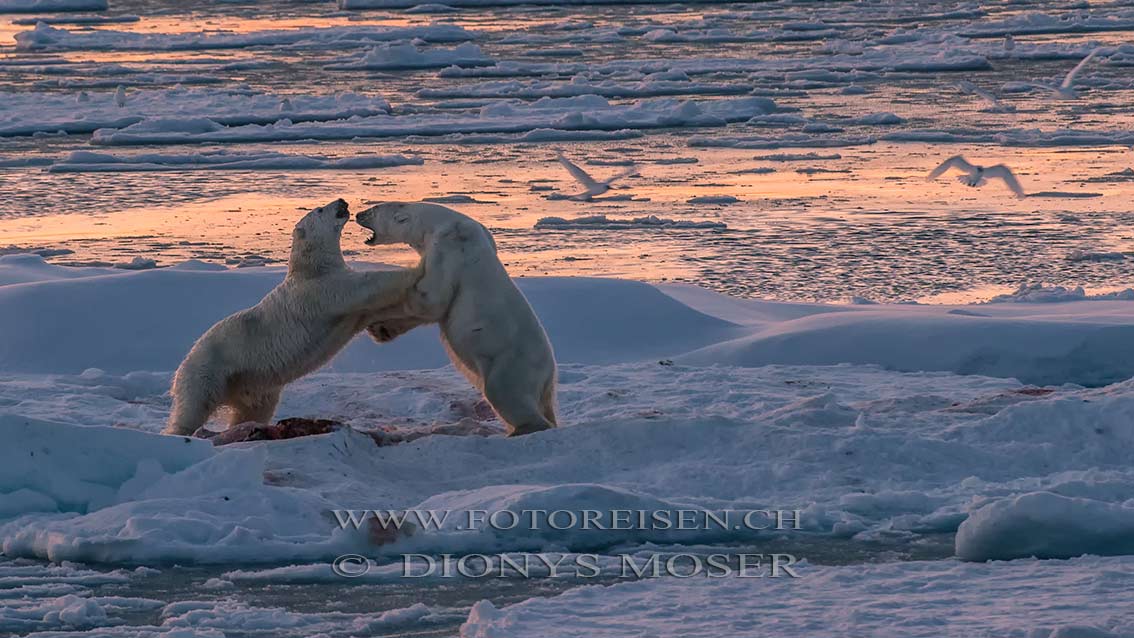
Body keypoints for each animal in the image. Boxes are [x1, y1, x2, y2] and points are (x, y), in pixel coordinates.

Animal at [164, 199, 421, 437]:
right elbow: (363, 285)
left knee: (253, 411)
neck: (310, 267)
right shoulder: (320, 290)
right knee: (194, 407)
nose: (342, 201)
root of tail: (183, 364)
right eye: (320, 209)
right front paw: (414, 270)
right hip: (209, 370)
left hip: (251, 384)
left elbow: (369, 310)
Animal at [356, 201, 555, 437]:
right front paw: (380, 330)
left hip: (512, 363)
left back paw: (521, 429)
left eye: (374, 209)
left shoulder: (448, 247)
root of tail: (549, 374)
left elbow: (432, 299)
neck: (438, 222)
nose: (357, 214)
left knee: (502, 391)